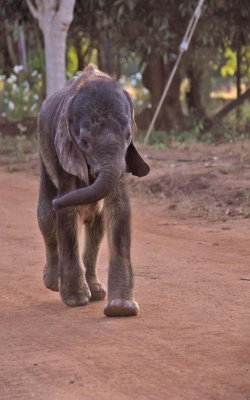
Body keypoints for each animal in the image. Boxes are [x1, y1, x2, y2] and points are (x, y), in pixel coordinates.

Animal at [36, 65, 149, 316]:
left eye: (128, 137)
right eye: (84, 143)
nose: (58, 201)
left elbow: (119, 210)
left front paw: (121, 308)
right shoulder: (64, 151)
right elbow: (66, 215)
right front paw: (76, 299)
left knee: (96, 223)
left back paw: (96, 291)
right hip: (43, 157)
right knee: (45, 217)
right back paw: (53, 283)